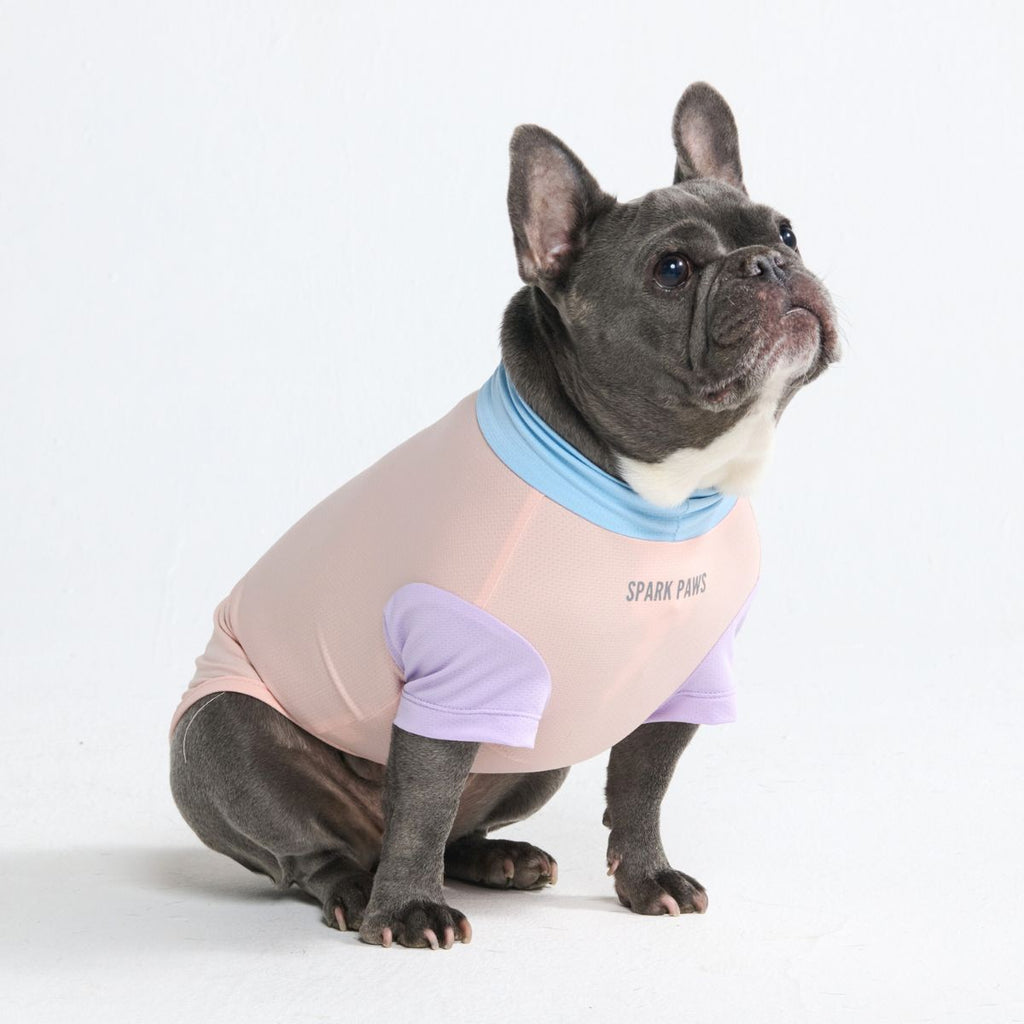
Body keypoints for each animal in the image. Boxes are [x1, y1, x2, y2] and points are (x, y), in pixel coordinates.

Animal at [170, 82, 839, 950]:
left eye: (786, 230)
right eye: (673, 270)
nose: (770, 263)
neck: (654, 491)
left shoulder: (682, 679)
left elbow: (643, 786)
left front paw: (647, 878)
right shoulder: (454, 670)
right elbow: (423, 798)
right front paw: (408, 911)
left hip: (536, 756)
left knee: (458, 826)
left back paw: (498, 858)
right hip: (225, 731)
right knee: (318, 847)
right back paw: (357, 886)